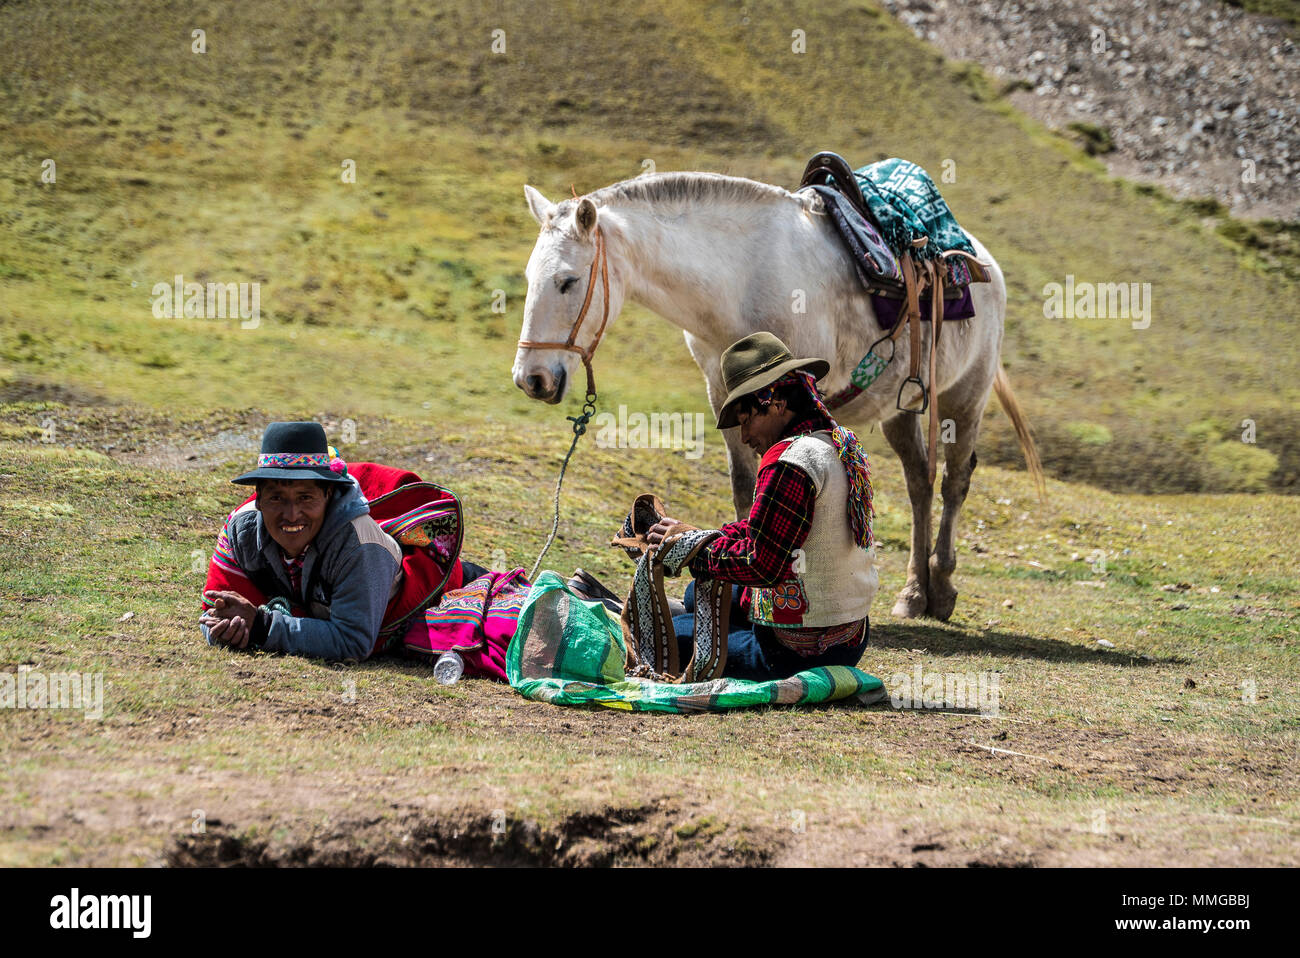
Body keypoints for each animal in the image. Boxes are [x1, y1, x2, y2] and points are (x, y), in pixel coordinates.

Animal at [512, 171, 1040, 621]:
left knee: (953, 482)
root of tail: (985, 262)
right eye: (529, 278)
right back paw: (914, 593)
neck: (738, 278)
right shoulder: (721, 390)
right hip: (901, 409)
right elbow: (745, 484)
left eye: (567, 281)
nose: (530, 379)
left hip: (965, 397)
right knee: (919, 482)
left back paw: (942, 588)